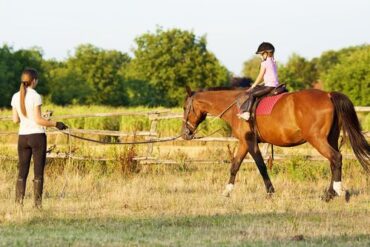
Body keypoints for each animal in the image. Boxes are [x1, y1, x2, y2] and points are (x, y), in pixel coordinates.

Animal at [182, 87, 370, 199]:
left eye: (185, 108)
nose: (185, 133)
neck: (235, 107)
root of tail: (328, 94)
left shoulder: (250, 142)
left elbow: (261, 166)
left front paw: (270, 191)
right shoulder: (243, 143)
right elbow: (235, 165)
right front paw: (227, 191)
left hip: (317, 139)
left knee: (336, 158)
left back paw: (335, 191)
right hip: (330, 138)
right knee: (334, 161)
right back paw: (329, 193)